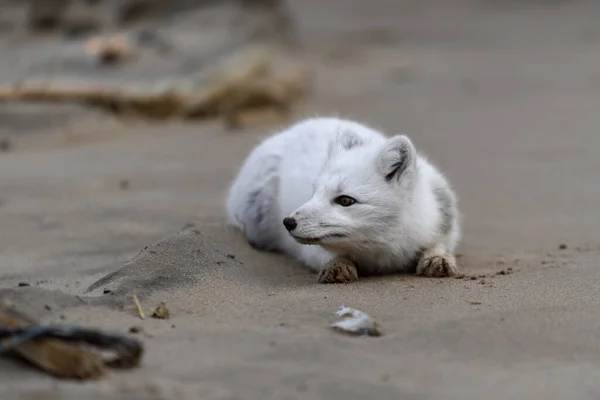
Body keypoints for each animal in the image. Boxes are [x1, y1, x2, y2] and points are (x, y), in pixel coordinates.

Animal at [224, 117, 460, 282]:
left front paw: (437, 258)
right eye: (314, 192)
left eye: (345, 201)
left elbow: (439, 243)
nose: (288, 222)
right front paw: (337, 265)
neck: (383, 250)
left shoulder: (442, 218)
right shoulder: (309, 250)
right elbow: (327, 253)